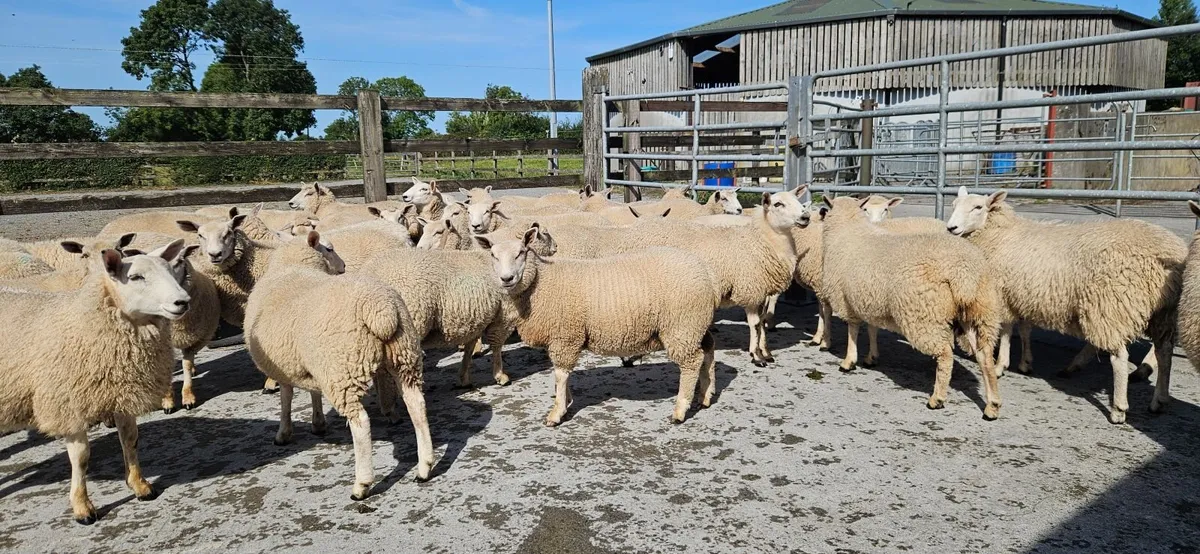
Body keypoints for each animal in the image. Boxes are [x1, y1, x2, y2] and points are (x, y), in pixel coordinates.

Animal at [0, 241, 191, 524]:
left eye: (170, 269)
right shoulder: (68, 404)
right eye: (136, 277)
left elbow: (130, 440)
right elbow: (81, 458)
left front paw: (139, 485)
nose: (183, 301)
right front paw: (82, 507)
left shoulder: (121, 392)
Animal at [244, 231, 432, 499]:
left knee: (361, 423)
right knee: (416, 404)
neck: (292, 266)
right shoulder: (307, 363)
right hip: (404, 356)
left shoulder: (286, 367)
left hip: (342, 369)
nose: (343, 267)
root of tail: (381, 310)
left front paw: (283, 433)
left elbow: (286, 397)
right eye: (330, 249)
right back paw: (425, 467)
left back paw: (361, 486)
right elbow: (311, 391)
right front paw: (317, 422)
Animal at [474, 226, 719, 425]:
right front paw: (566, 401)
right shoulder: (561, 337)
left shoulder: (566, 335)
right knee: (708, 350)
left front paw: (557, 412)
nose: (506, 279)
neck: (540, 282)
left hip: (682, 326)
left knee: (691, 362)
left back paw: (680, 409)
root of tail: (703, 271)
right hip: (696, 324)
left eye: (521, 252)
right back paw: (706, 395)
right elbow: (562, 375)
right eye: (493, 256)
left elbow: (560, 374)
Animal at [820, 196, 1004, 418]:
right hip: (980, 312)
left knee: (945, 354)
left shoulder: (847, 299)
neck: (848, 229)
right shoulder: (870, 300)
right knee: (984, 356)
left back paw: (937, 398)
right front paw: (871, 357)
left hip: (924, 315)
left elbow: (853, 330)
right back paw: (992, 406)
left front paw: (848, 361)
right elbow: (872, 329)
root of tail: (964, 273)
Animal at [946, 187, 1185, 424]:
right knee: (1164, 352)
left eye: (978, 207)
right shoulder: (1023, 294)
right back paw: (1158, 400)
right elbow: (1024, 329)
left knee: (1119, 357)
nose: (951, 228)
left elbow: (1007, 330)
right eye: (954, 205)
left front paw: (1000, 365)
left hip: (1111, 305)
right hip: (1163, 312)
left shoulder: (1002, 293)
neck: (1000, 233)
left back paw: (1118, 408)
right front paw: (1025, 363)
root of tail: (1169, 253)